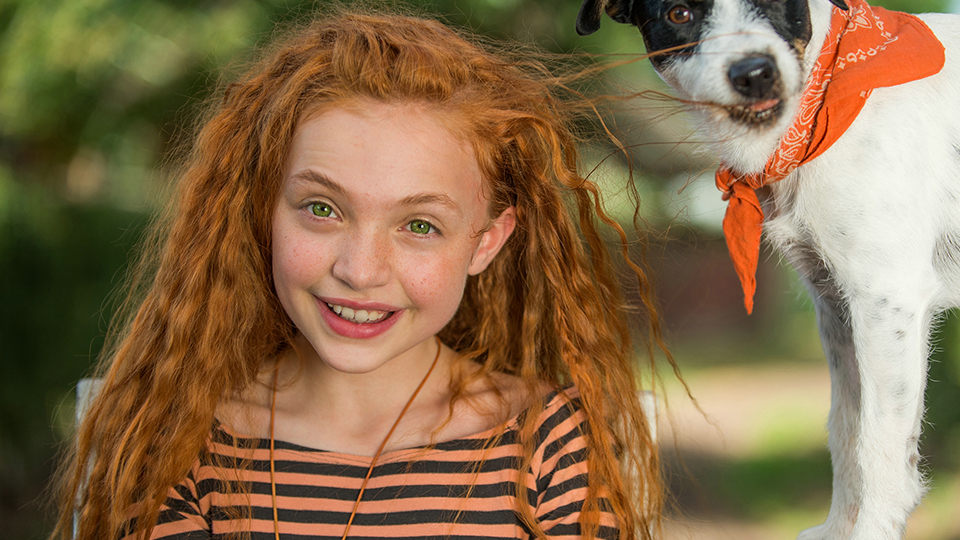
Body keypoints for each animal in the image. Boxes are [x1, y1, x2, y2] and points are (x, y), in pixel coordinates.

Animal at [576, 0, 960, 536]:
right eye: (679, 14)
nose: (756, 74)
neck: (825, 95)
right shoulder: (836, 305)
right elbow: (846, 430)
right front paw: (839, 529)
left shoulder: (887, 300)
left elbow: (877, 445)